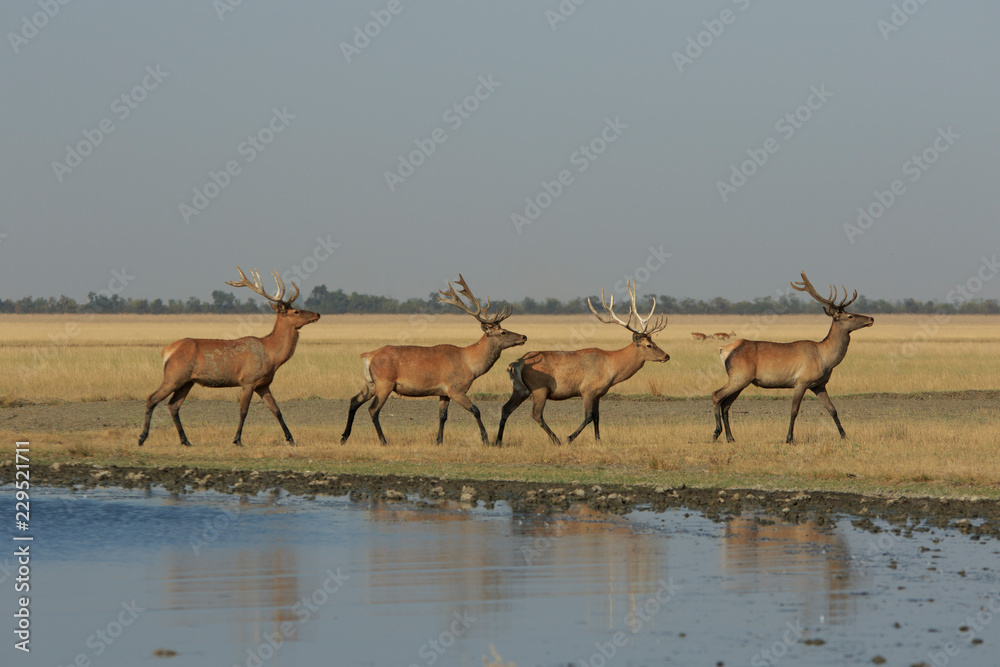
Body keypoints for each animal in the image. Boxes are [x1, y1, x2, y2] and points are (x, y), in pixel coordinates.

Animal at [138, 268, 320, 448]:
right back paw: (142, 437)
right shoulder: (248, 380)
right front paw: (237, 440)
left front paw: (291, 439)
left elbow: (276, 410)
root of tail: (167, 351)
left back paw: (185, 441)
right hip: (174, 376)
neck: (271, 356)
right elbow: (243, 411)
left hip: (187, 381)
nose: (317, 314)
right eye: (296, 311)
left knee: (173, 405)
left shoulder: (263, 384)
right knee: (152, 398)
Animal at [340, 275, 526, 446]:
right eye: (503, 332)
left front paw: (439, 441)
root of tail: (368, 355)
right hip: (384, 383)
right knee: (373, 409)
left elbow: (442, 416)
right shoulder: (456, 389)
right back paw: (383, 441)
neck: (470, 365)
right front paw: (486, 439)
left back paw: (344, 437)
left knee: (354, 401)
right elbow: (476, 410)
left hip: (371, 383)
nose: (523, 336)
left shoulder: (443, 392)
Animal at [495, 280, 669, 446]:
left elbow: (597, 417)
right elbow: (588, 417)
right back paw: (556, 440)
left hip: (520, 389)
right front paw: (570, 437)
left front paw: (598, 440)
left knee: (506, 408)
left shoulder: (598, 393)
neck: (611, 368)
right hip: (540, 388)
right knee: (536, 414)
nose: (666, 356)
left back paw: (498, 440)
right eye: (649, 345)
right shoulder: (587, 389)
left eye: (654, 342)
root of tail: (517, 363)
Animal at [711, 271, 874, 444]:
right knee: (716, 395)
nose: (871, 318)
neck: (826, 359)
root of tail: (724, 349)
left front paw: (844, 435)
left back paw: (730, 438)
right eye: (850, 316)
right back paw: (716, 432)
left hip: (741, 380)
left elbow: (832, 409)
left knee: (726, 404)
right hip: (739, 376)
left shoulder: (819, 385)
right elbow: (794, 411)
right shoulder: (801, 381)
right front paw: (789, 438)